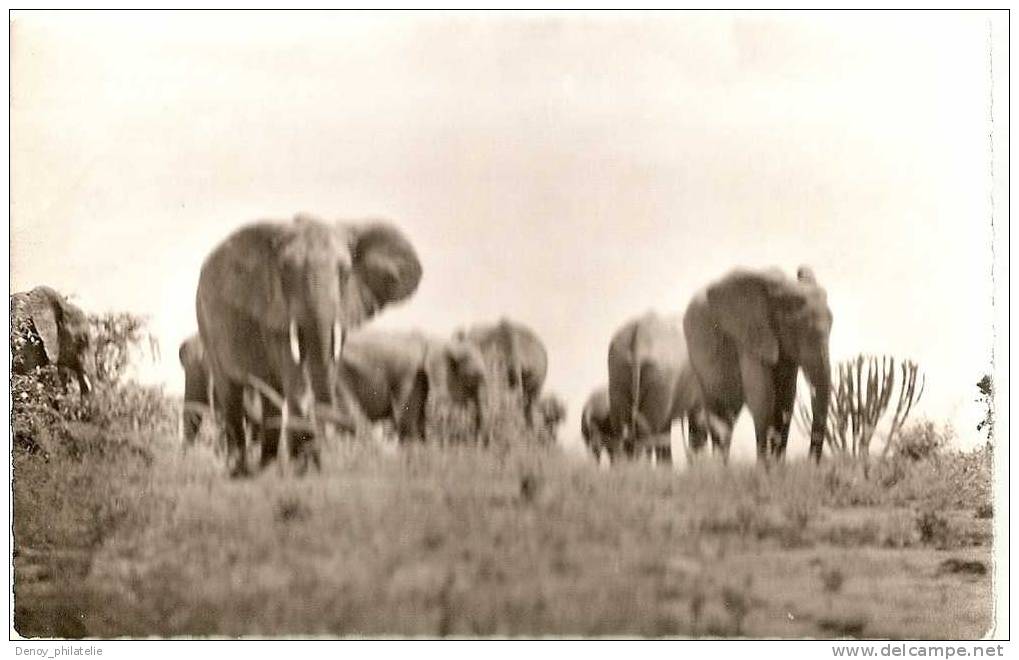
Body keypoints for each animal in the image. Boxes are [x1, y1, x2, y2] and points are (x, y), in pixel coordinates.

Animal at [194, 213, 421, 476]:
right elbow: (296, 380)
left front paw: (306, 469)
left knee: (270, 394)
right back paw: (239, 472)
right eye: (284, 271)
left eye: (345, 273)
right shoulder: (275, 313)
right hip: (205, 323)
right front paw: (304, 468)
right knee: (230, 393)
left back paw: (265, 469)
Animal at [603, 311, 709, 462]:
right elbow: (699, 422)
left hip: (618, 370)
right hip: (661, 375)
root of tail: (639, 333)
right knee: (648, 434)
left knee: (622, 431)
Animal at [680, 264, 831, 462]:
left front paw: (777, 465)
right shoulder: (750, 333)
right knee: (718, 413)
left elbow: (785, 400)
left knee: (727, 418)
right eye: (797, 329)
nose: (811, 463)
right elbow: (762, 396)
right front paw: (764, 466)